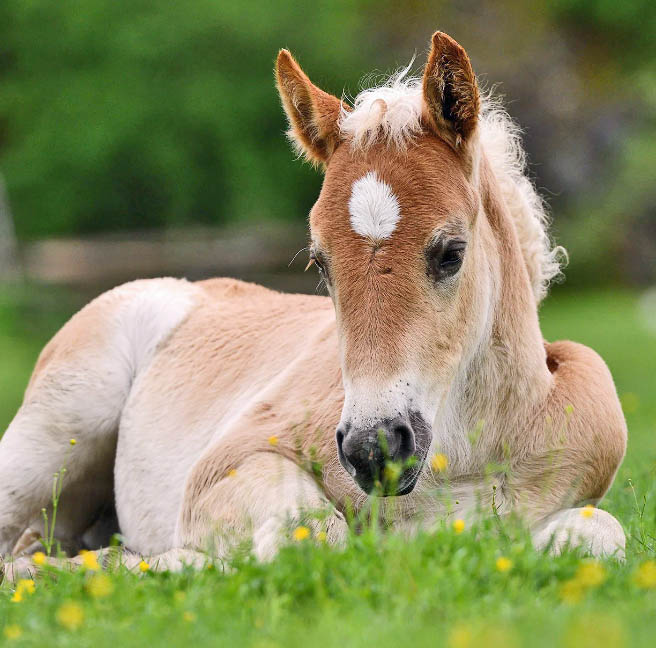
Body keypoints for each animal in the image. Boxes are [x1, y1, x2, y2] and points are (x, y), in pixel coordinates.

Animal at [0, 31, 627, 577]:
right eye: (321, 263)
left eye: (452, 253)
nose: (375, 448)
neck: (466, 455)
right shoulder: (228, 462)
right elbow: (314, 537)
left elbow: (601, 536)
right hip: (54, 434)